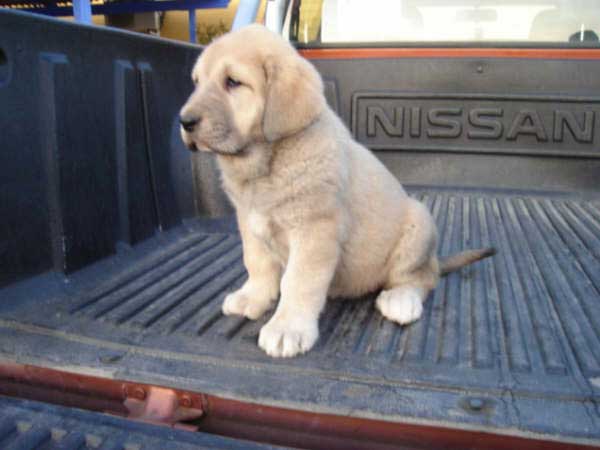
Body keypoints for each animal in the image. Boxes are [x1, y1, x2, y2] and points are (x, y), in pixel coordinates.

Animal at [178, 24, 492, 356]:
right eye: (197, 82)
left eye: (233, 82)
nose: (184, 121)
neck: (267, 162)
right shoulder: (250, 224)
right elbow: (257, 264)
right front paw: (253, 297)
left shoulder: (314, 231)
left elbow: (298, 282)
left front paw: (287, 327)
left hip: (418, 225)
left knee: (421, 277)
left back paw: (400, 300)